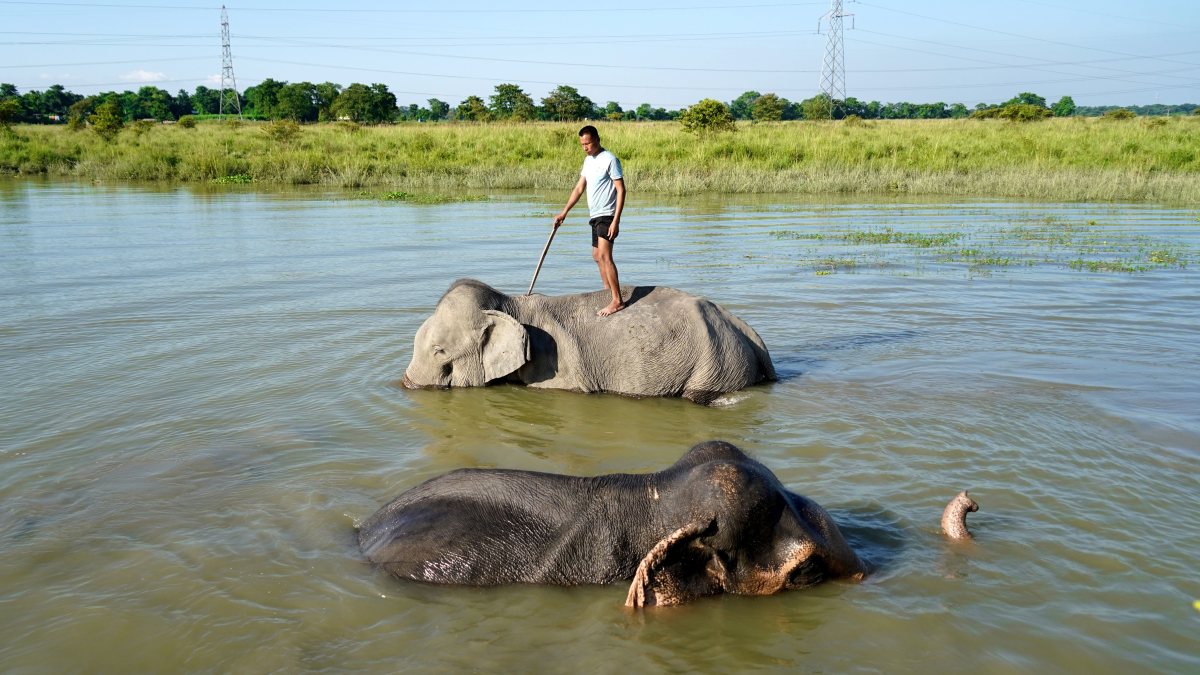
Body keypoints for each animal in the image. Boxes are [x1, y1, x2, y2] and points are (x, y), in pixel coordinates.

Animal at [400, 279, 775, 404]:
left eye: (440, 352)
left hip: (719, 362)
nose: (406, 386)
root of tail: (744, 327)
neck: (509, 305)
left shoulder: (556, 372)